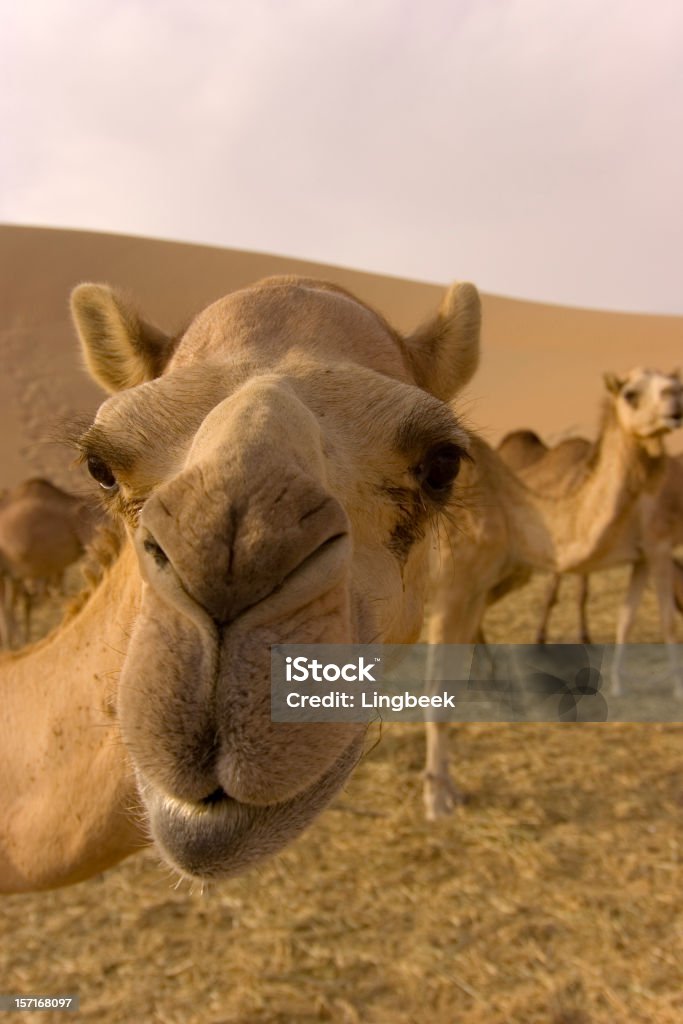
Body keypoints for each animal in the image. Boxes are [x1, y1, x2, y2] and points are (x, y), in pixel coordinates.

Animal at [428, 366, 683, 815]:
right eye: (631, 394)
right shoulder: (449, 591)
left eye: (676, 383)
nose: (675, 404)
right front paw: (436, 799)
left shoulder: (473, 590)